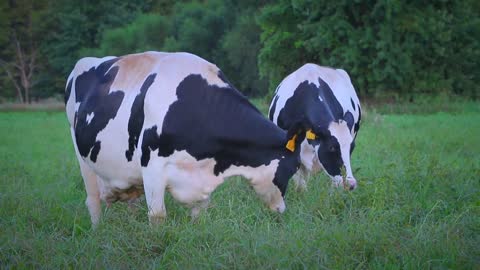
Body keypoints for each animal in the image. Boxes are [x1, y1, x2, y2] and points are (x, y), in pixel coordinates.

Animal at [64, 50, 308, 226]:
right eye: (294, 167)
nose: (281, 211)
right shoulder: (152, 167)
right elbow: (157, 216)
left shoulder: (202, 179)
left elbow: (199, 217)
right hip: (81, 156)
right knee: (93, 201)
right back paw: (98, 231)